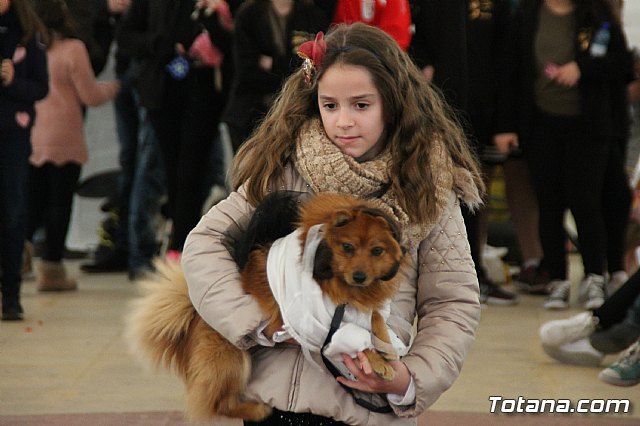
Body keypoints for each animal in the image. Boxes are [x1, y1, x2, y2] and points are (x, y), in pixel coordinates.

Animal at [126, 193, 404, 422]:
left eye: (377, 251)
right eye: (347, 248)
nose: (359, 276)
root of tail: (193, 314)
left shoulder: (358, 309)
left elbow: (376, 318)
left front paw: (387, 347)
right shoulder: (320, 325)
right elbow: (358, 339)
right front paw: (378, 361)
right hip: (233, 359)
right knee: (220, 403)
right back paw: (257, 410)